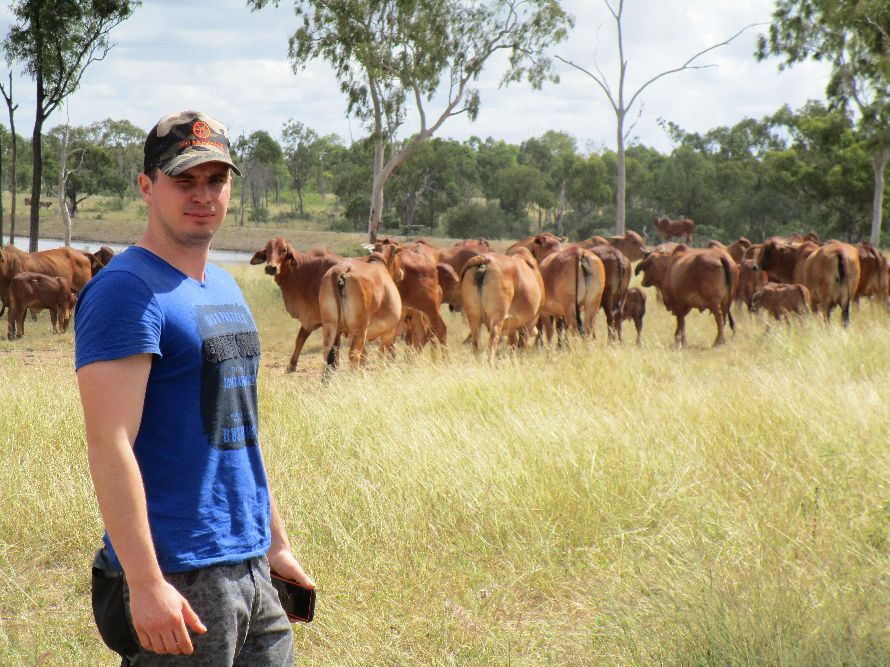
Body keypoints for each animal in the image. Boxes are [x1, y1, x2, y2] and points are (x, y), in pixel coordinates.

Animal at [253, 237, 346, 374]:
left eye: (284, 250)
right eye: (267, 250)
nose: (271, 268)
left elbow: (331, 343)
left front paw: (332, 366)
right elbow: (300, 340)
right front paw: (292, 364)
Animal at [320, 243, 402, 374]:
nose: (401, 273)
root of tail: (342, 268)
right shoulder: (389, 331)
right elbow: (381, 356)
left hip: (330, 327)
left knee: (329, 354)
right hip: (359, 329)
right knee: (354, 354)